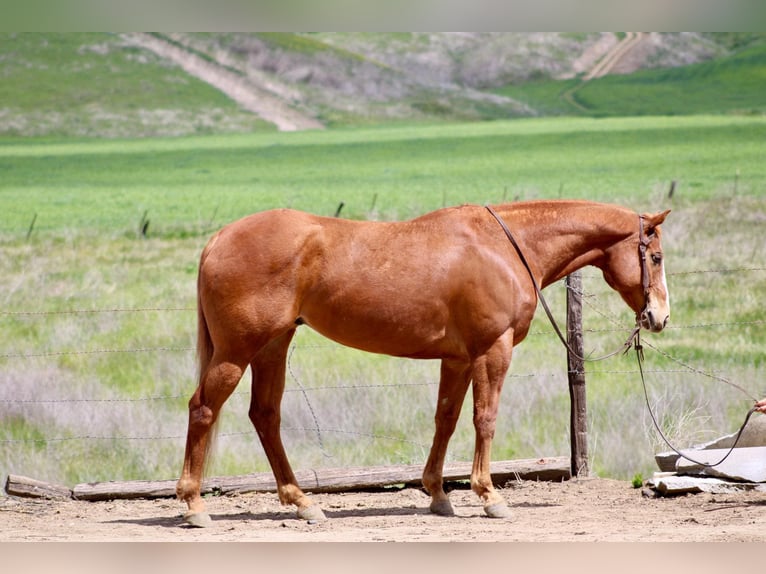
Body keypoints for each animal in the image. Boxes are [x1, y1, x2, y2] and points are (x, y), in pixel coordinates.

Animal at [176, 199, 671, 527]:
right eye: (657, 256)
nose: (660, 317)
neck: (502, 246)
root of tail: (219, 238)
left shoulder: (457, 359)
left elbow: (445, 420)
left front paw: (437, 494)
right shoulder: (493, 350)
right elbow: (485, 419)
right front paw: (489, 496)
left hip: (273, 347)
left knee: (265, 416)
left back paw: (303, 503)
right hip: (238, 351)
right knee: (203, 409)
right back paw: (195, 504)